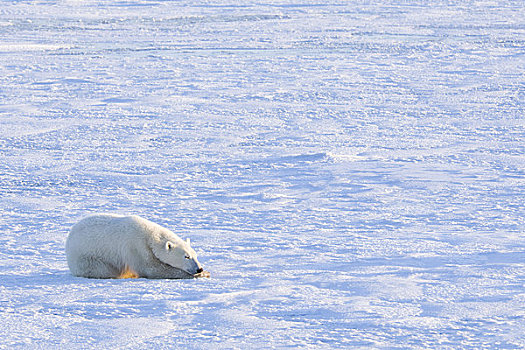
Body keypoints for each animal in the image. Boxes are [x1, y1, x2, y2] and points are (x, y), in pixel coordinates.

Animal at [66, 213, 210, 278]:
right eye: (186, 256)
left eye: (195, 255)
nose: (199, 269)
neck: (150, 235)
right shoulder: (135, 246)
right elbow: (150, 268)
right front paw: (202, 274)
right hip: (87, 257)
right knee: (103, 269)